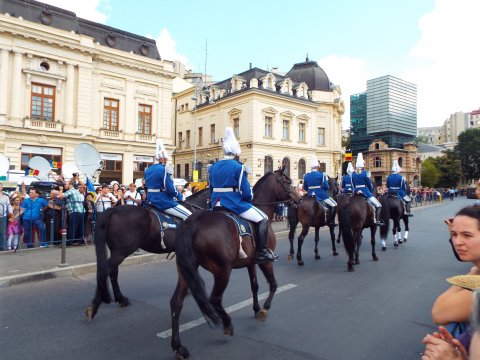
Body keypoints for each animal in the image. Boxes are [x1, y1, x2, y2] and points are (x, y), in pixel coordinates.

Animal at [85, 188, 209, 320]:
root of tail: (113, 210)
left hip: (116, 250)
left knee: (113, 271)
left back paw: (121, 299)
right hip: (122, 251)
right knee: (106, 270)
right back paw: (94, 306)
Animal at [170, 167, 300, 358]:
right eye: (288, 182)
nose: (300, 199)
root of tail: (192, 223)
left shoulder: (251, 262)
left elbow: (255, 286)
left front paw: (256, 308)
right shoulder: (265, 262)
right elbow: (273, 284)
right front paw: (264, 308)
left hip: (185, 272)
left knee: (176, 303)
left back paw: (178, 347)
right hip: (223, 271)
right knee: (214, 299)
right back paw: (227, 324)